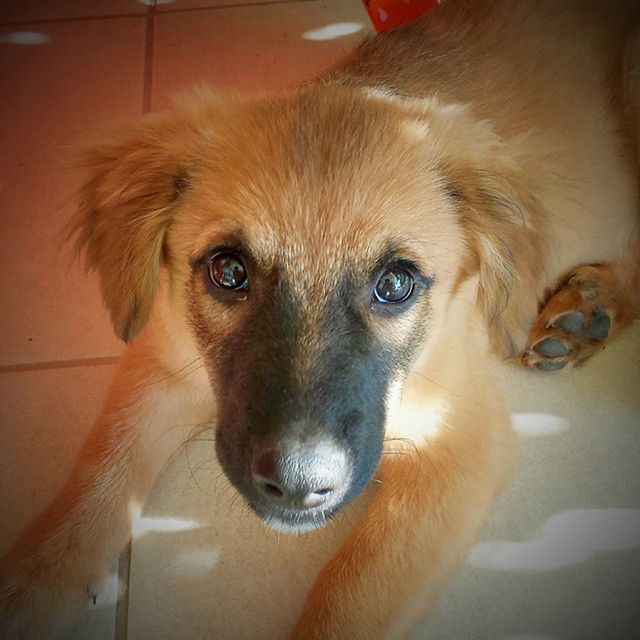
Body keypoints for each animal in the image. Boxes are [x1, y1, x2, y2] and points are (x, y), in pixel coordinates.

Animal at [1, 0, 640, 636]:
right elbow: (99, 478)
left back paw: (592, 306)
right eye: (228, 271)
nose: (296, 484)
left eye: (396, 284)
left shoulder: (460, 443)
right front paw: (31, 589)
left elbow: (351, 599)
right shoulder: (163, 358)